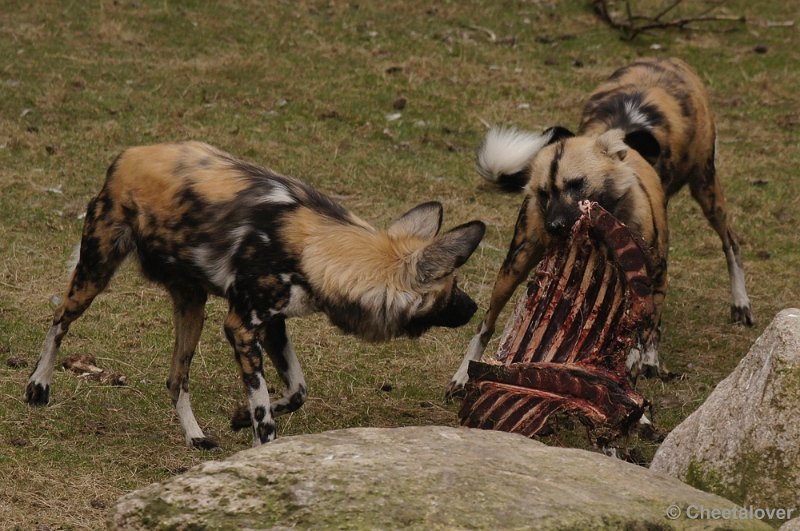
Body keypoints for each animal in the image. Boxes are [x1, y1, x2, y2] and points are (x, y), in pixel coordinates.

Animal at [26, 142, 488, 448]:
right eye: (453, 288)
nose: (475, 306)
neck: (320, 249)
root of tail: (129, 155)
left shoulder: (272, 325)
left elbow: (298, 391)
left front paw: (237, 418)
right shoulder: (241, 327)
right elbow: (265, 413)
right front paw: (261, 446)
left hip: (192, 306)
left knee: (176, 378)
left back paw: (196, 436)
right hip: (95, 273)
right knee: (58, 323)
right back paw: (38, 387)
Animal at [446, 57, 752, 400]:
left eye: (577, 185)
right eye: (543, 193)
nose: (554, 226)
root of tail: (668, 60)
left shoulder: (653, 277)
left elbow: (645, 333)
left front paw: (641, 363)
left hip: (706, 187)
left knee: (730, 242)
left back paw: (739, 302)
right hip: (515, 264)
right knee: (485, 323)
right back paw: (463, 375)